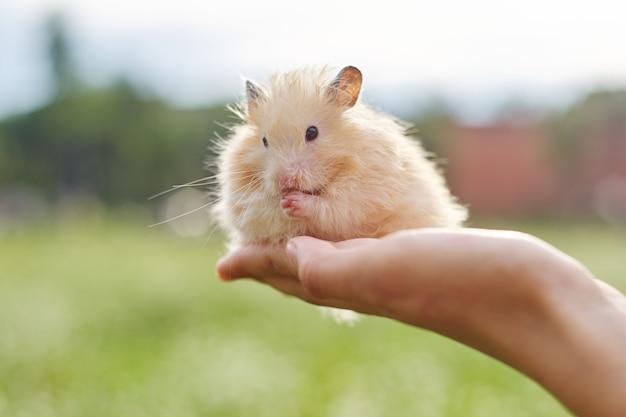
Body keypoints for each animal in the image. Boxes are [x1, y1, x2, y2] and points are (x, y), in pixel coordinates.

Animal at [212, 65, 466, 247]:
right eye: (264, 140)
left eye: (312, 132)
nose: (284, 181)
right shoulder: (246, 206)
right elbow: (266, 212)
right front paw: (283, 201)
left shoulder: (366, 195)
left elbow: (334, 208)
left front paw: (295, 201)